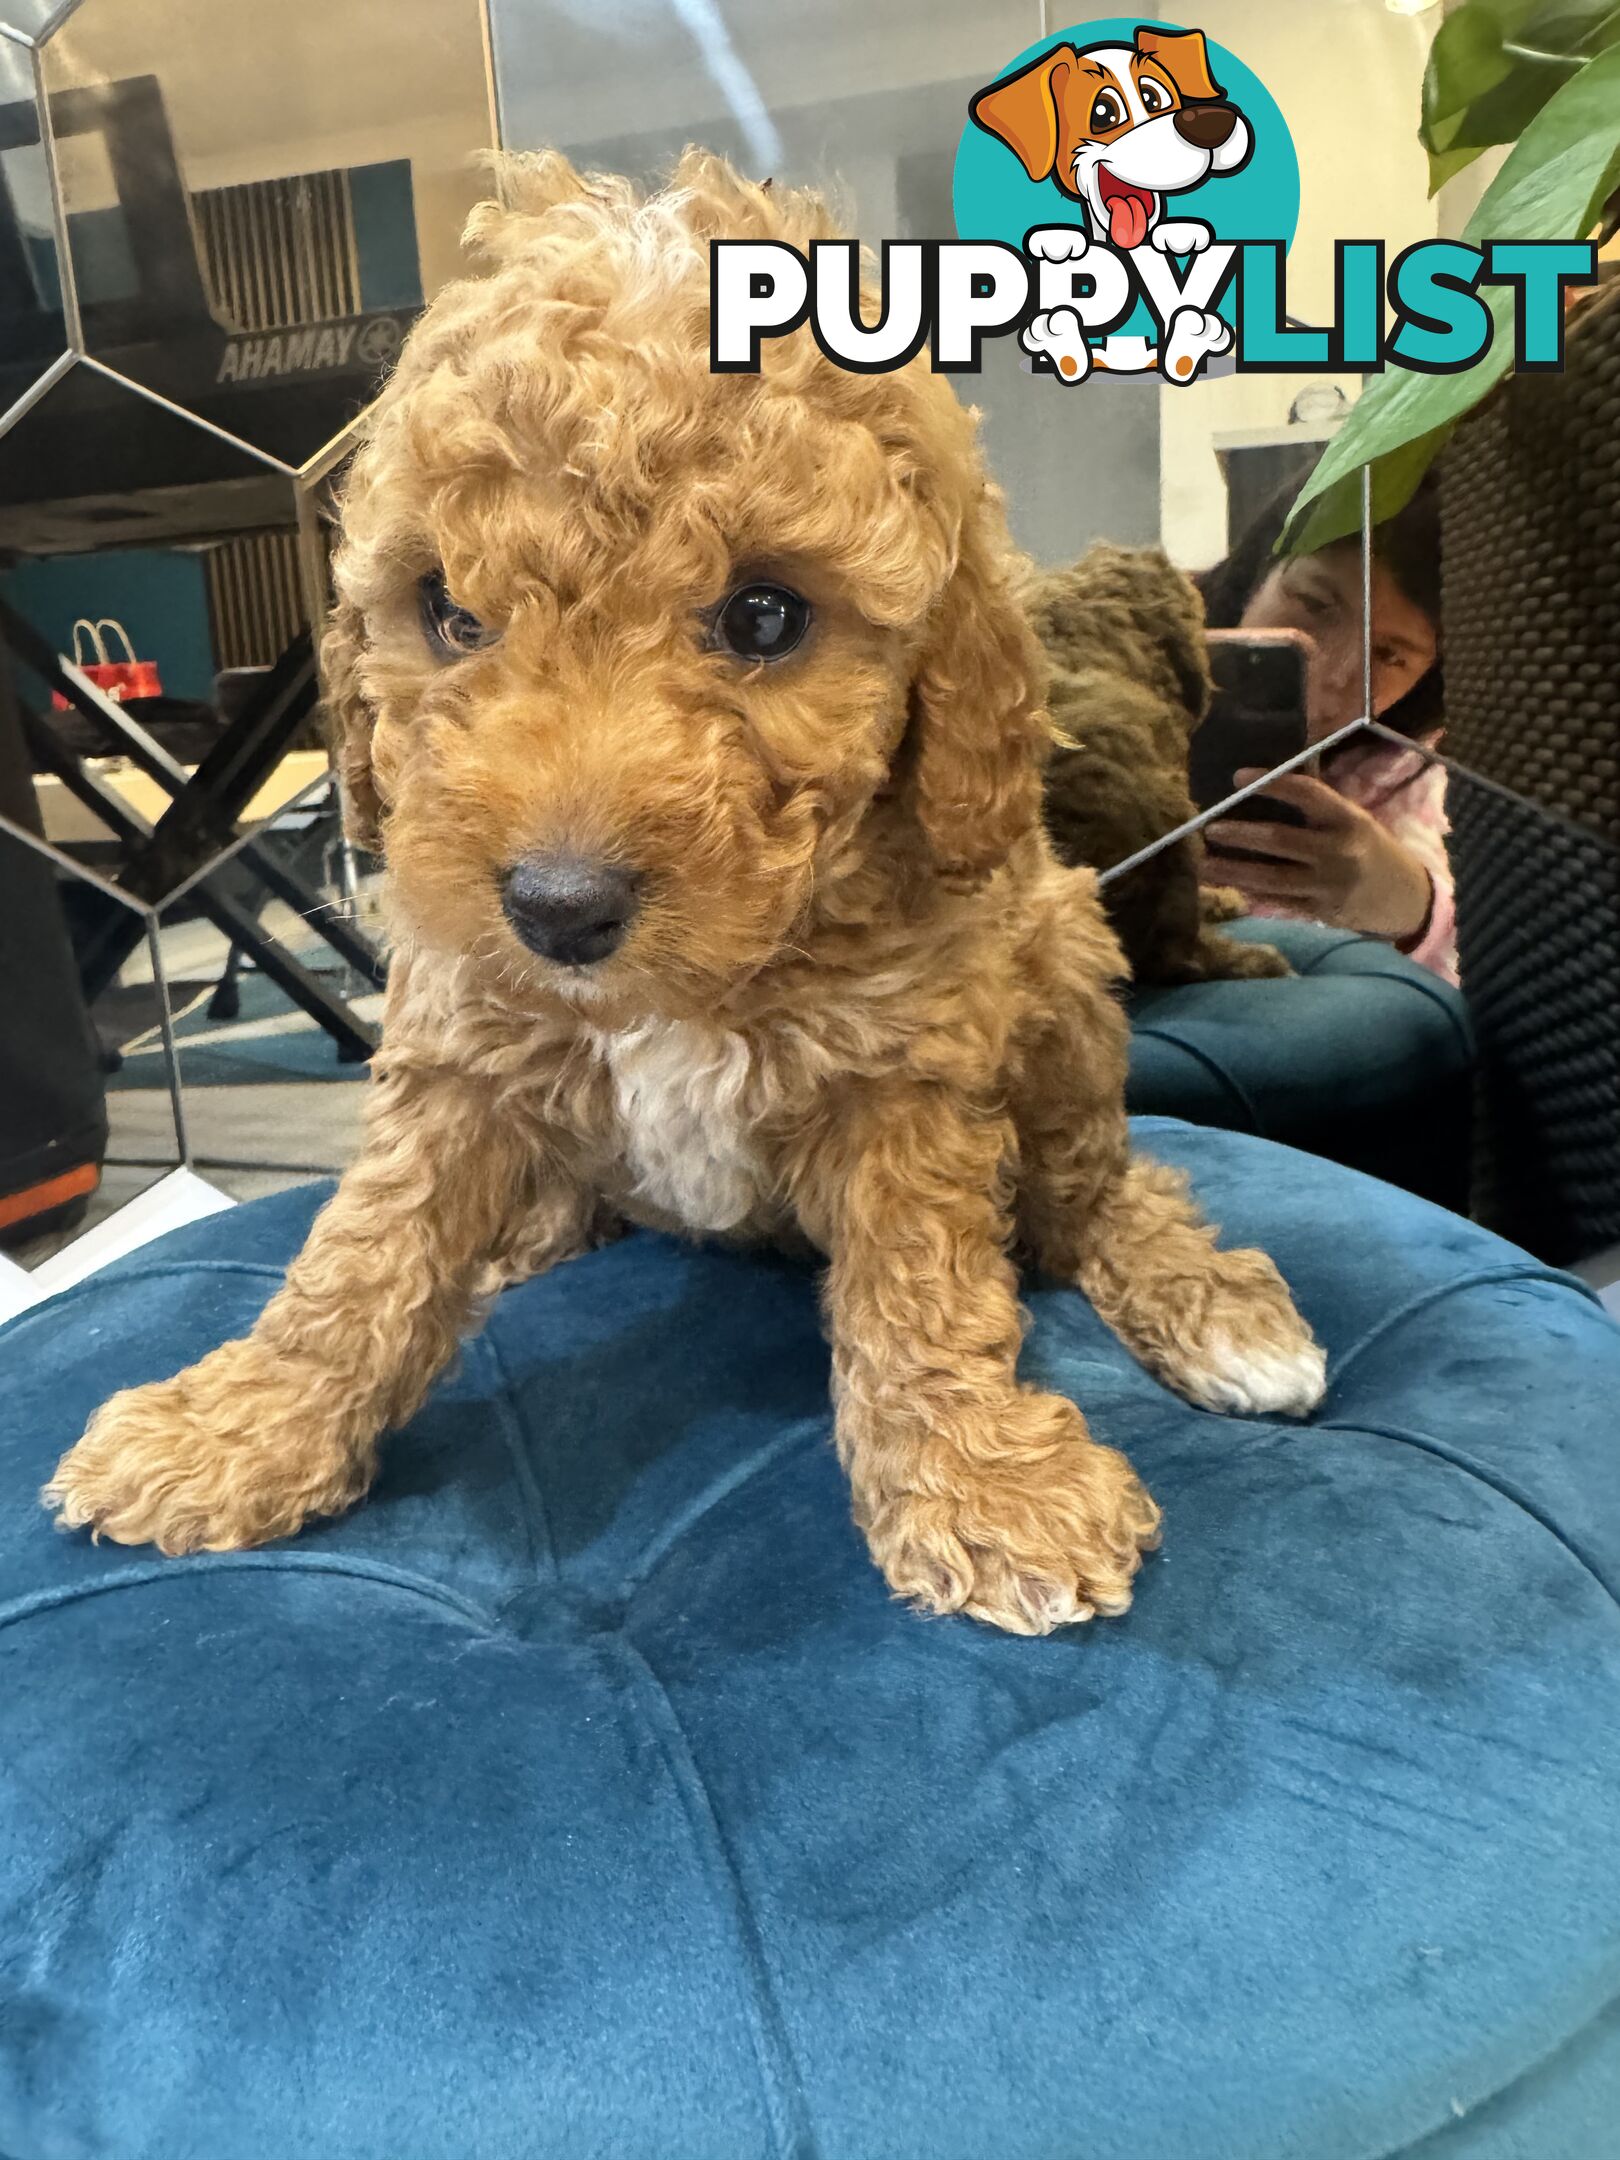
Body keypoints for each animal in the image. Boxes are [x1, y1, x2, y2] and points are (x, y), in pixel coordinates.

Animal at [44, 156, 1321, 1632]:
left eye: (766, 617)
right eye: (449, 614)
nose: (557, 908)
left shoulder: (908, 1072)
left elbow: (925, 1283)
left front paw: (981, 1483)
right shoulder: (460, 1042)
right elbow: (363, 1256)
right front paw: (241, 1428)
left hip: (1058, 971)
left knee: (1099, 1183)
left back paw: (1210, 1304)